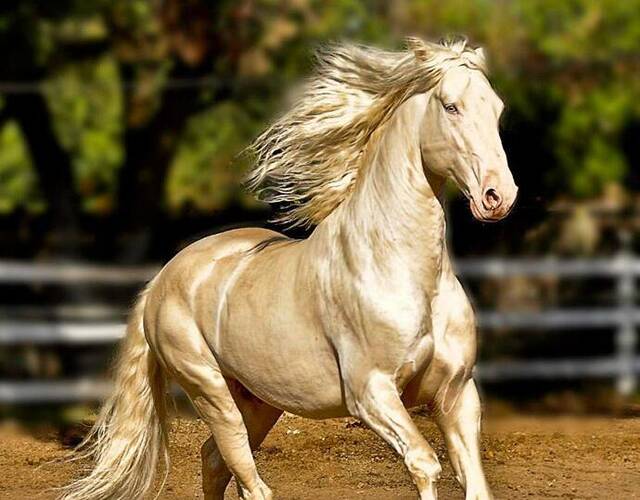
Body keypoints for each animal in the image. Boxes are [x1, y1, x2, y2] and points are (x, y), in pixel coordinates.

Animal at [61, 36, 517, 500]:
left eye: (497, 109)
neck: (405, 272)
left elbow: (474, 481)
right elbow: (424, 463)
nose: (499, 195)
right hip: (210, 390)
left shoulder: (456, 394)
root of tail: (161, 280)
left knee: (213, 461)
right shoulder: (372, 392)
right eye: (451, 106)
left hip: (258, 401)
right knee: (246, 477)